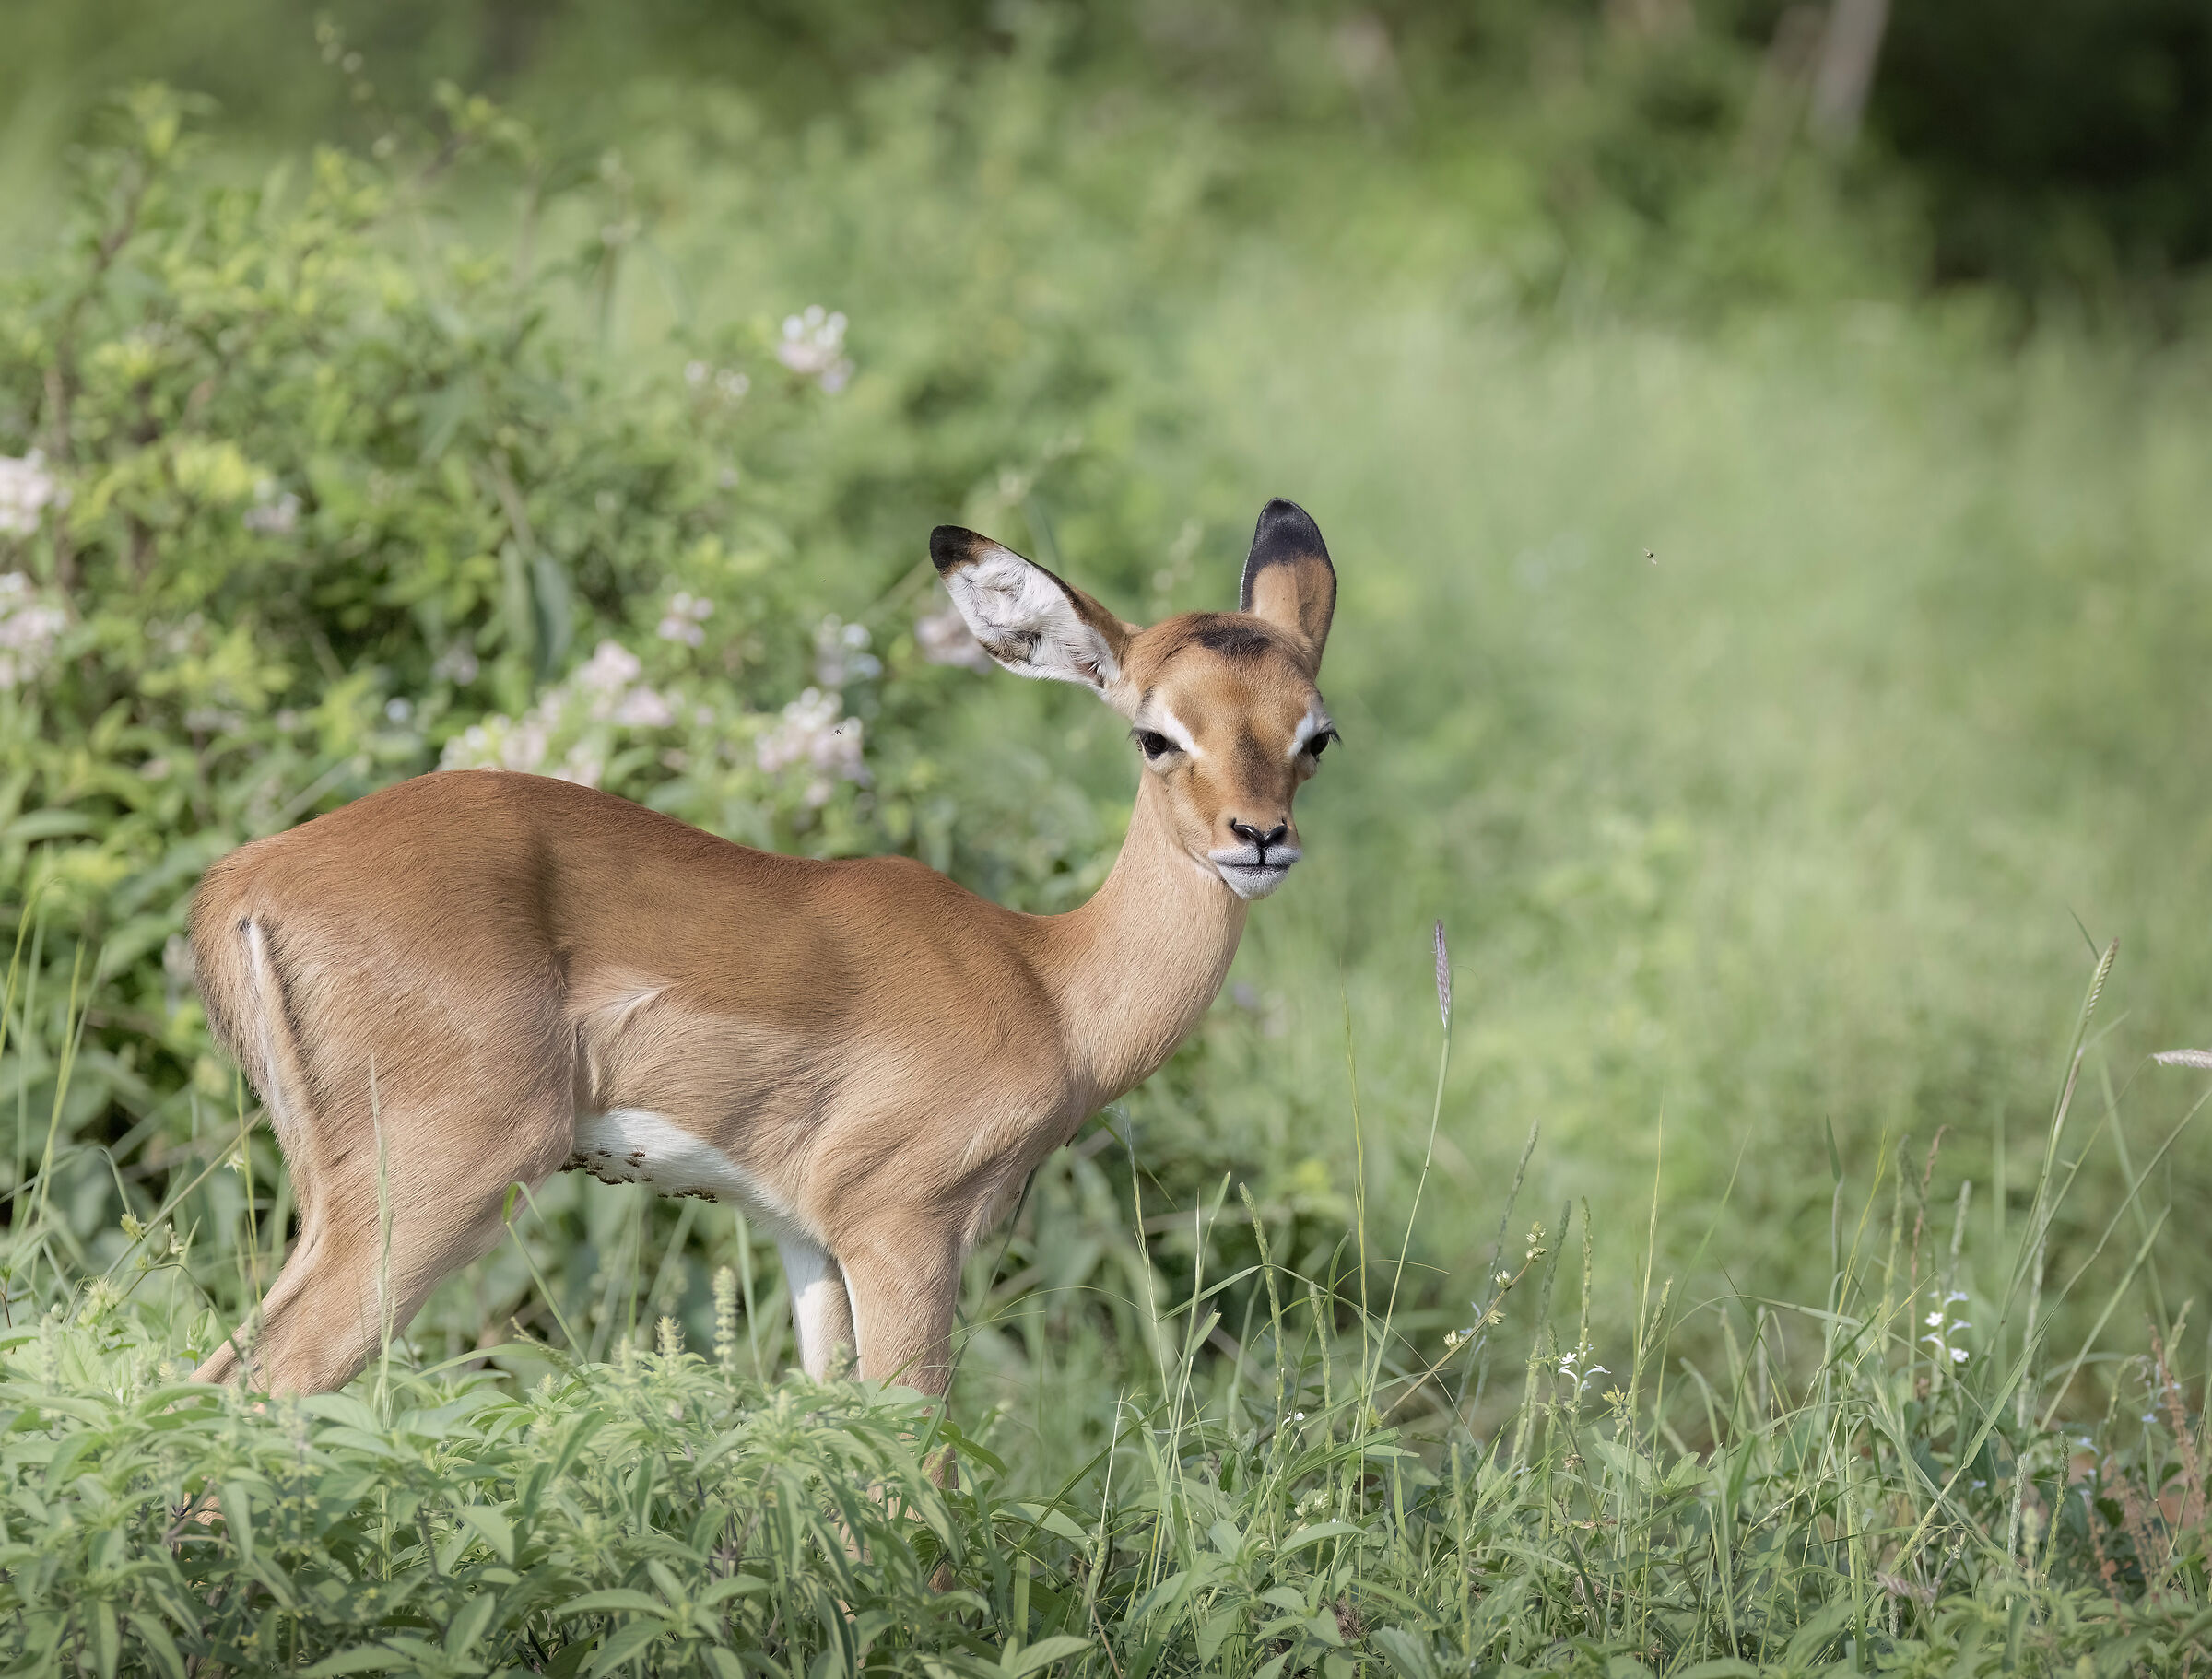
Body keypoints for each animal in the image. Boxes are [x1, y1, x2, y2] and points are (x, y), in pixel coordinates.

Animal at [188, 498, 1339, 1398]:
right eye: (1156, 734)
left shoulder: (806, 1235)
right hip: (441, 1185)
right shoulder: (903, 1227)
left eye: (1315, 733)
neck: (1046, 982)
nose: (1260, 837)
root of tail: (243, 879)